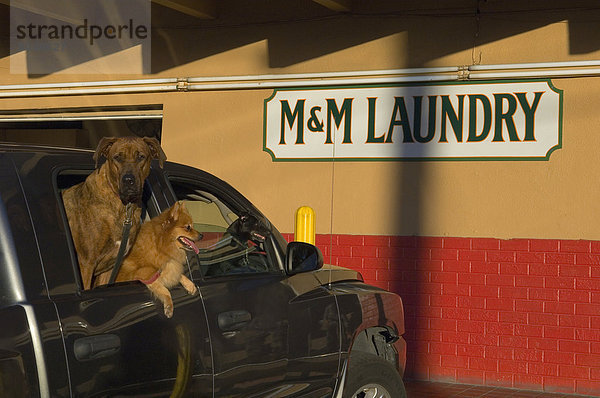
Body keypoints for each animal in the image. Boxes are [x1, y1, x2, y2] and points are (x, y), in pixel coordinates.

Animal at [62, 137, 166, 290]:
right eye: (117, 157)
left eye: (141, 157)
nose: (128, 180)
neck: (124, 207)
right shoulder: (86, 264)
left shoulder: (110, 267)